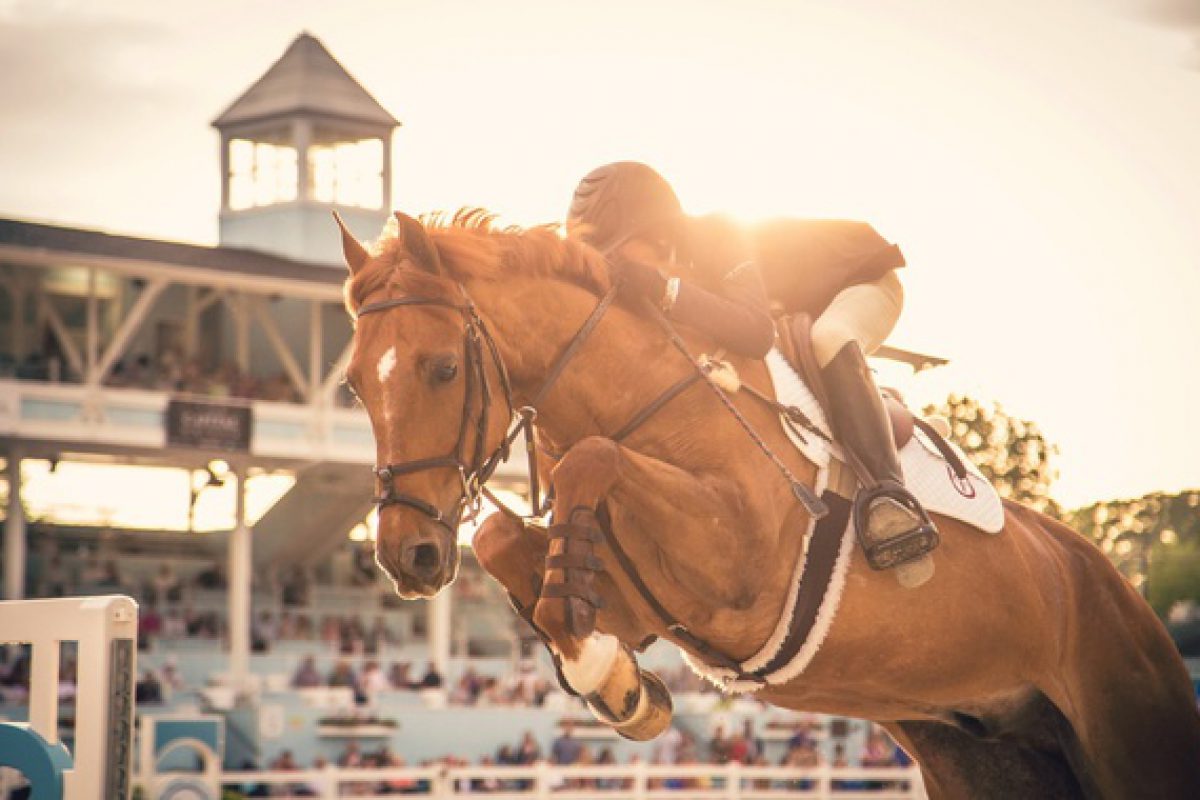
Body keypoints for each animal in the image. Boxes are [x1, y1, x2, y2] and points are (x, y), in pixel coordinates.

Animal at [338, 209, 1200, 796]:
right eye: (353, 386)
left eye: (443, 368)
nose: (408, 557)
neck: (645, 394)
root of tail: (1121, 589)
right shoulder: (648, 602)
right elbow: (503, 541)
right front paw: (613, 679)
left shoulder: (739, 571)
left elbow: (592, 458)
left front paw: (599, 671)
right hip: (985, 754)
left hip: (1133, 737)